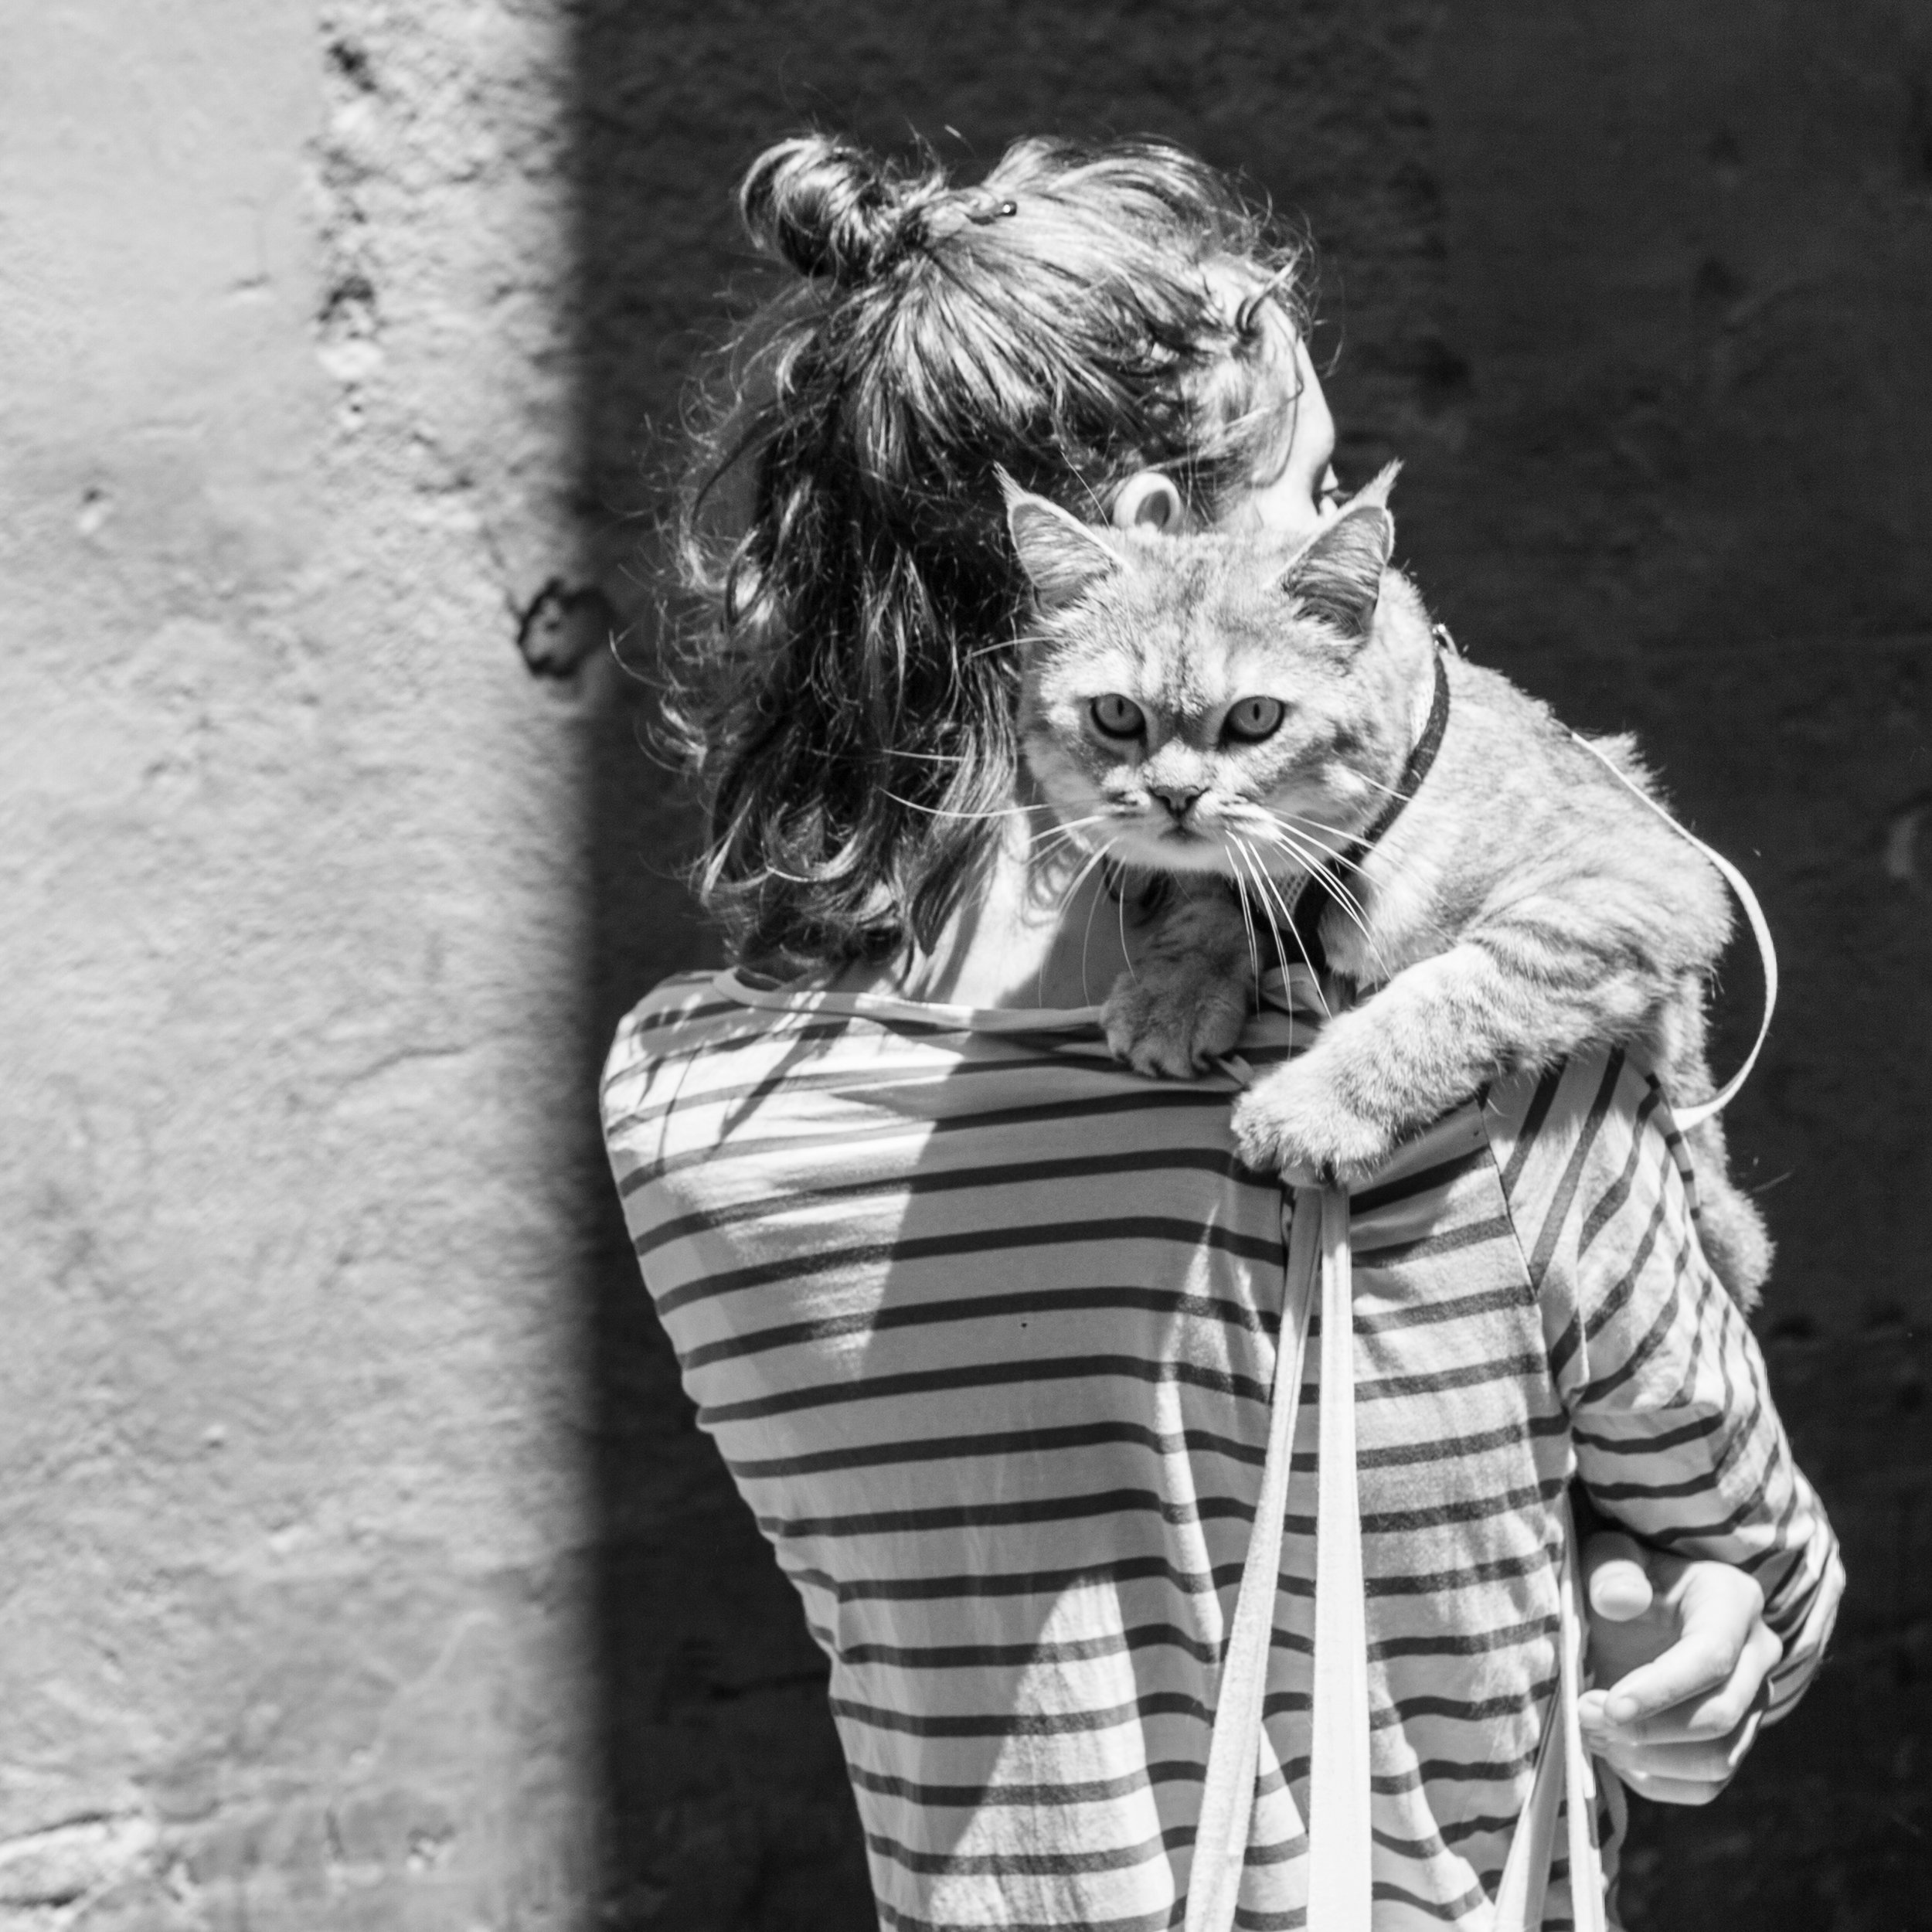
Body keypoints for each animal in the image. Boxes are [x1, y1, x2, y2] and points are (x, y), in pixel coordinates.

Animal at [1005, 469, 1770, 1314]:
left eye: (1256, 716)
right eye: (1114, 713)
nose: (1176, 797)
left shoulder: (1642, 876)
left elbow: (1453, 992)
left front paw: (1315, 1106)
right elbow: (1213, 892)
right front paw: (1175, 987)